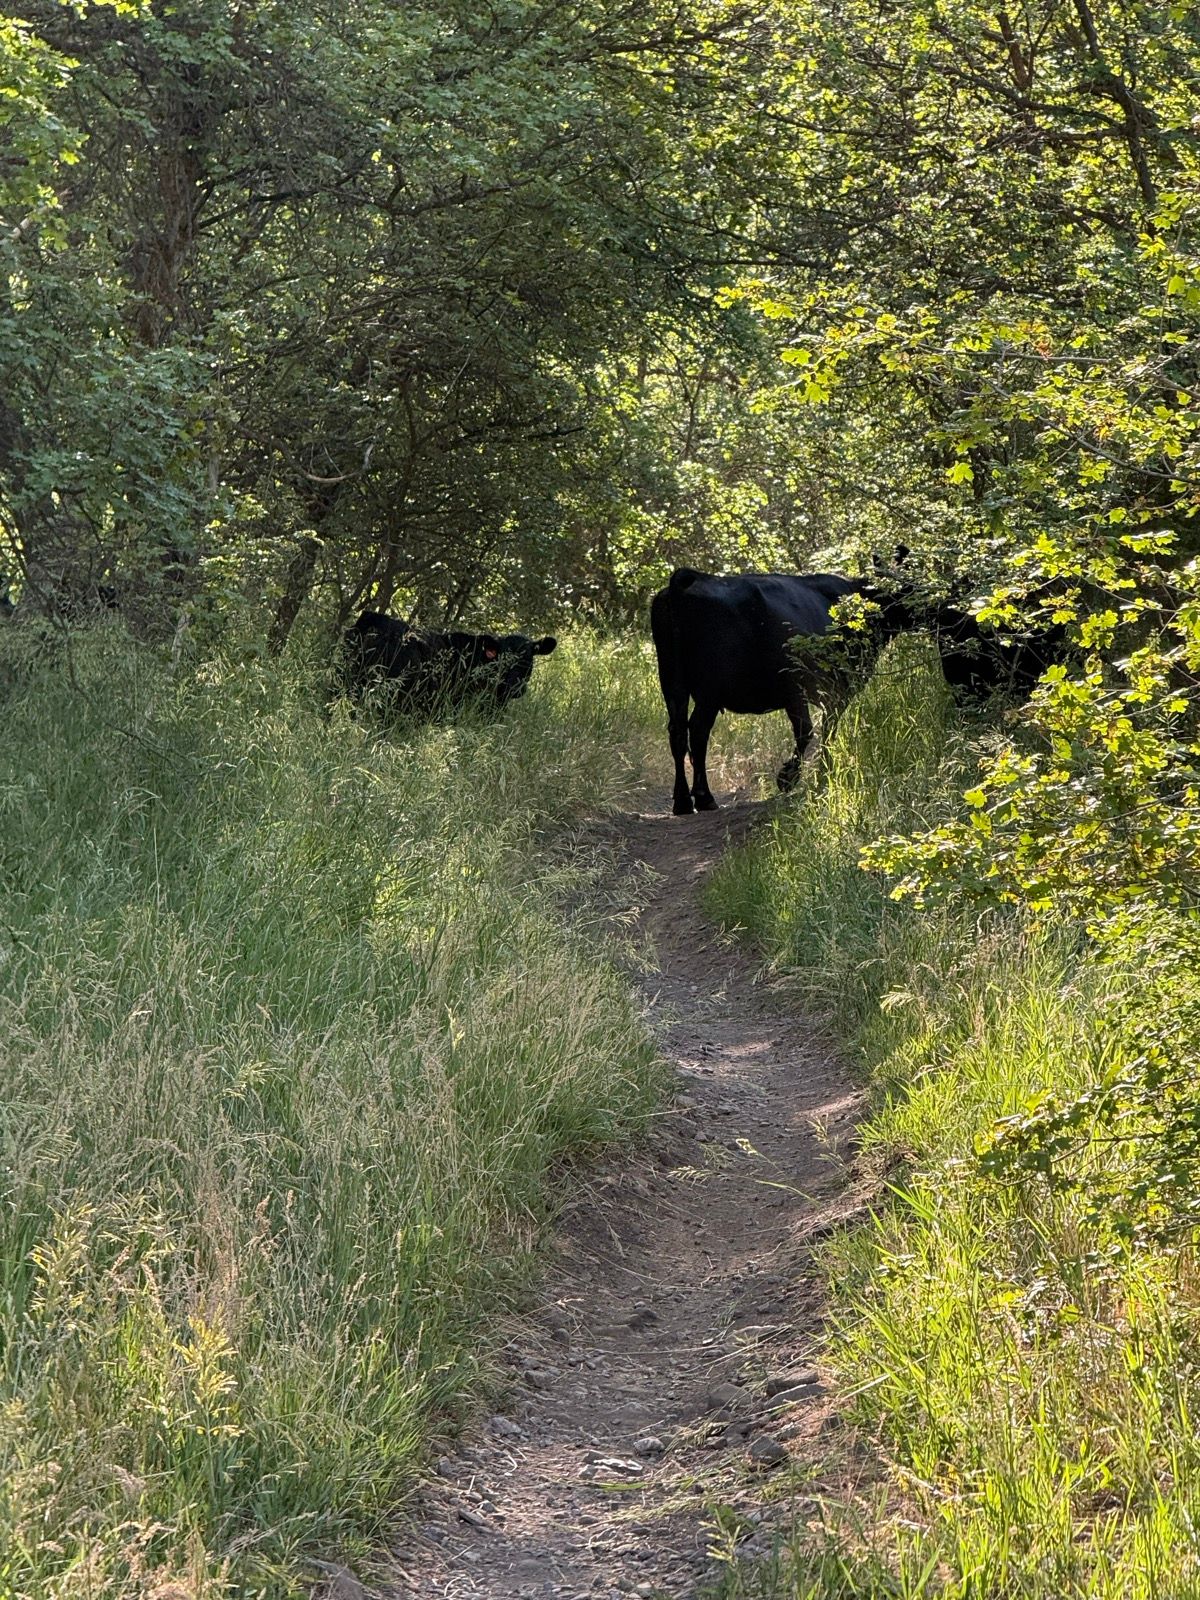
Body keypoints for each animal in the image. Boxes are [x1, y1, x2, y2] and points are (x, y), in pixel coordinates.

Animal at [650, 567, 913, 815]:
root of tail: (691, 578)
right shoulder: (816, 690)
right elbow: (814, 731)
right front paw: (796, 777)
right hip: (709, 691)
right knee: (697, 732)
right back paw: (703, 797)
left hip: (673, 683)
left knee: (678, 733)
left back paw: (684, 801)